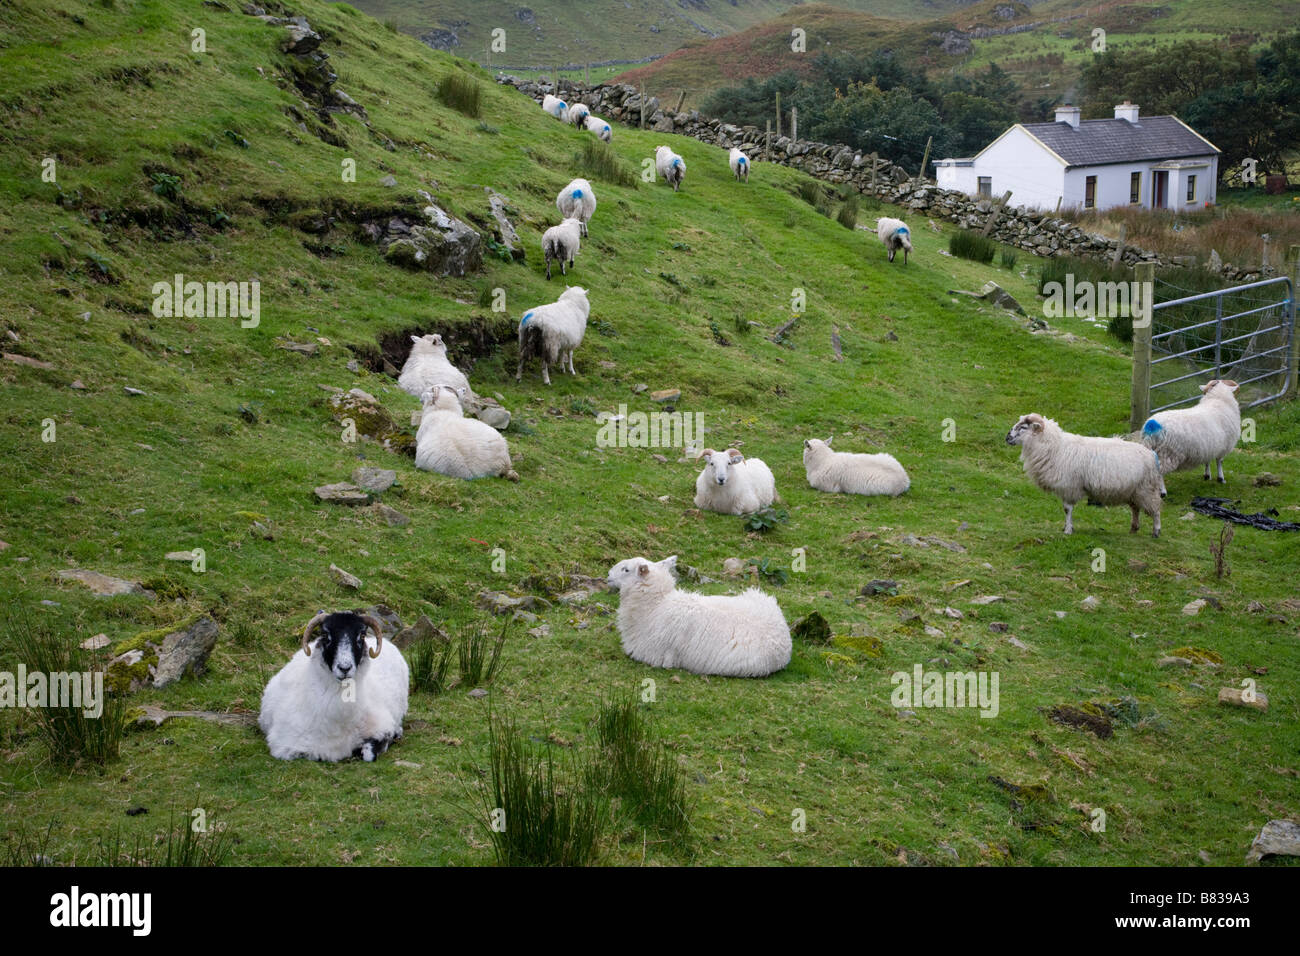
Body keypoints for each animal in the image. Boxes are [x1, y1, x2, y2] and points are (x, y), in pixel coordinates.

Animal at [258, 613, 405, 764]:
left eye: (362, 635)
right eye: (325, 635)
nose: (345, 668)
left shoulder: (382, 726)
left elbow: (369, 754)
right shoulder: (288, 746)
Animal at [998, 413, 1164, 538]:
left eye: (1023, 427)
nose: (1007, 437)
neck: (1054, 447)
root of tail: (1151, 454)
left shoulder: (1069, 487)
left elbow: (1067, 509)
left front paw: (1067, 530)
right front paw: (1067, 527)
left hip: (1147, 488)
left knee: (1155, 509)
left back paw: (1156, 531)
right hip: (1134, 491)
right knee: (1136, 509)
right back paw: (1133, 529)